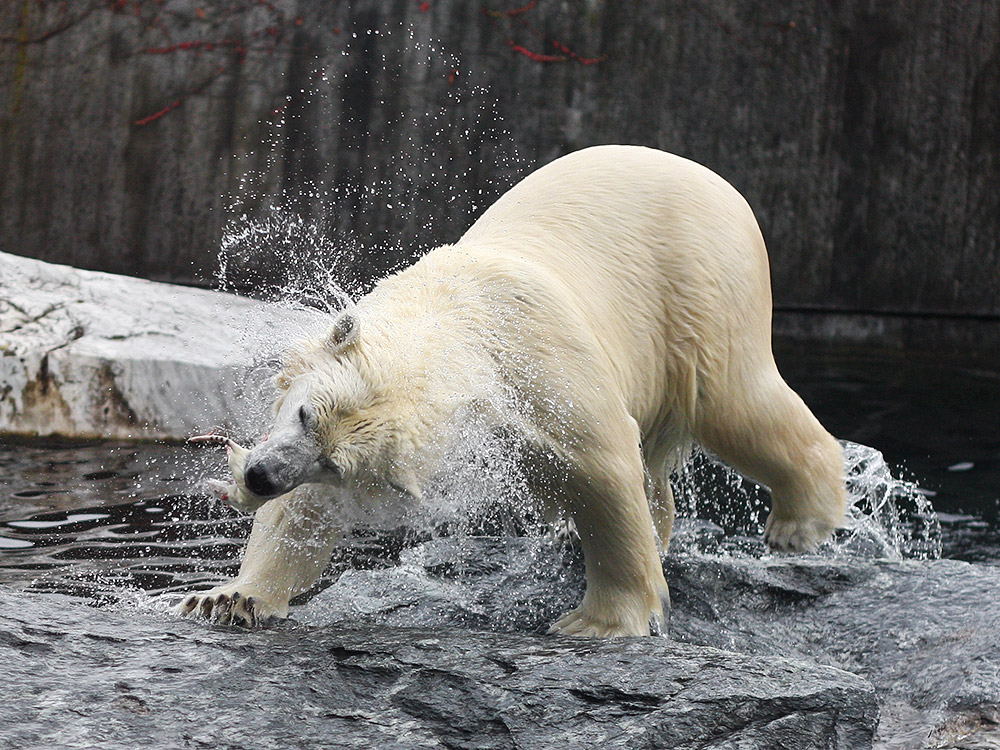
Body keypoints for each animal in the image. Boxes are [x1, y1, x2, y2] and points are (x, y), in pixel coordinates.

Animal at [176, 145, 848, 636]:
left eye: (337, 463)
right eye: (304, 415)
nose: (260, 476)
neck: (463, 319)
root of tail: (719, 183)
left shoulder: (545, 373)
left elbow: (604, 469)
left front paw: (600, 623)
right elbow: (304, 516)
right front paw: (229, 599)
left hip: (700, 284)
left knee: (734, 402)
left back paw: (800, 523)